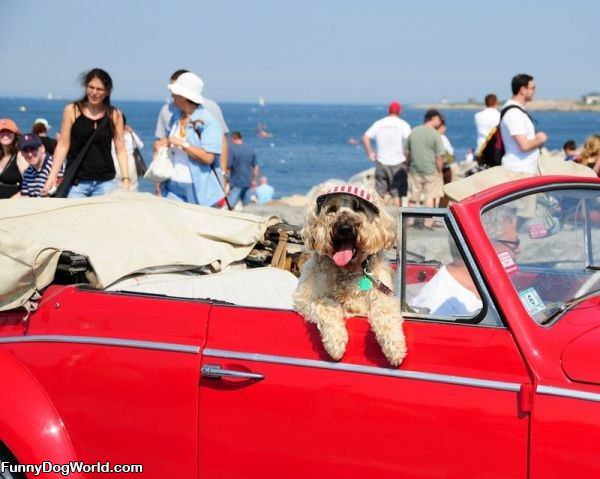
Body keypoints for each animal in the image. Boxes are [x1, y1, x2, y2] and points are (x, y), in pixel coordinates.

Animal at [292, 186, 406, 366]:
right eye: (332, 209)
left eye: (358, 208)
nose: (344, 228)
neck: (348, 269)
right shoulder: (304, 299)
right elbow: (326, 305)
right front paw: (335, 343)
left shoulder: (384, 294)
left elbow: (384, 312)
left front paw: (395, 348)